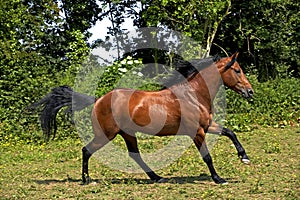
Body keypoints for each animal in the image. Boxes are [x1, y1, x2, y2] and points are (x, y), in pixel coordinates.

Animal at [31, 51, 253, 184]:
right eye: (237, 70)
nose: (250, 92)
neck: (193, 95)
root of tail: (98, 99)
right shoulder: (196, 131)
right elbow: (207, 156)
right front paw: (218, 178)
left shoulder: (207, 125)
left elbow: (230, 133)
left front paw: (244, 157)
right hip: (106, 134)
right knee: (87, 150)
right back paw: (87, 180)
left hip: (127, 133)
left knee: (134, 155)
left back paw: (157, 177)